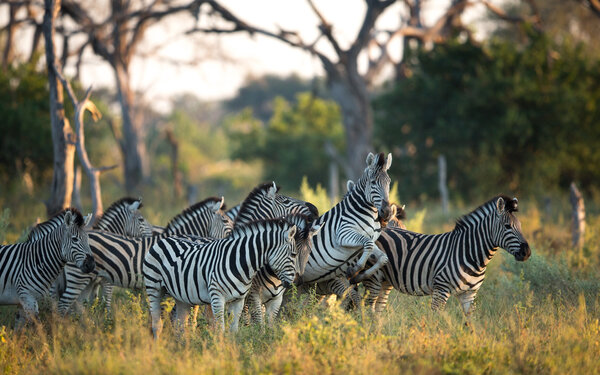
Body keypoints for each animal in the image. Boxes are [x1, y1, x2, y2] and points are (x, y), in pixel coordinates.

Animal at [143, 217, 298, 334]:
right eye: (293, 254)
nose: (290, 284)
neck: (239, 262)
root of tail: (163, 240)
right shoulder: (217, 297)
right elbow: (220, 330)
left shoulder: (239, 300)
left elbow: (234, 330)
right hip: (154, 288)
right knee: (157, 323)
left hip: (182, 297)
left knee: (180, 325)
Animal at [358, 197, 528, 318]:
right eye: (507, 226)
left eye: (520, 225)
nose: (527, 252)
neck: (469, 253)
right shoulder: (441, 290)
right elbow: (435, 321)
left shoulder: (469, 295)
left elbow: (472, 325)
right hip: (373, 279)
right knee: (366, 308)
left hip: (385, 282)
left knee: (376, 310)